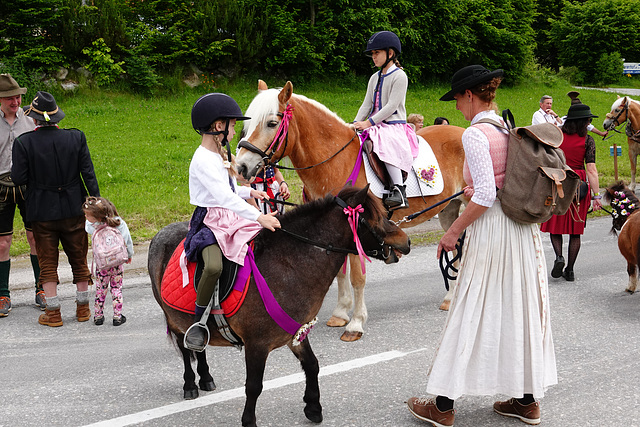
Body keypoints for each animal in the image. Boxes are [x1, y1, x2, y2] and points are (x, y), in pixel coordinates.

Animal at [235, 81, 464, 342]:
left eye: (272, 123)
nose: (240, 167)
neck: (334, 161)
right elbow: (341, 274)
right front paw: (340, 314)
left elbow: (357, 277)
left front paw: (355, 323)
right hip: (448, 210)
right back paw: (450, 299)